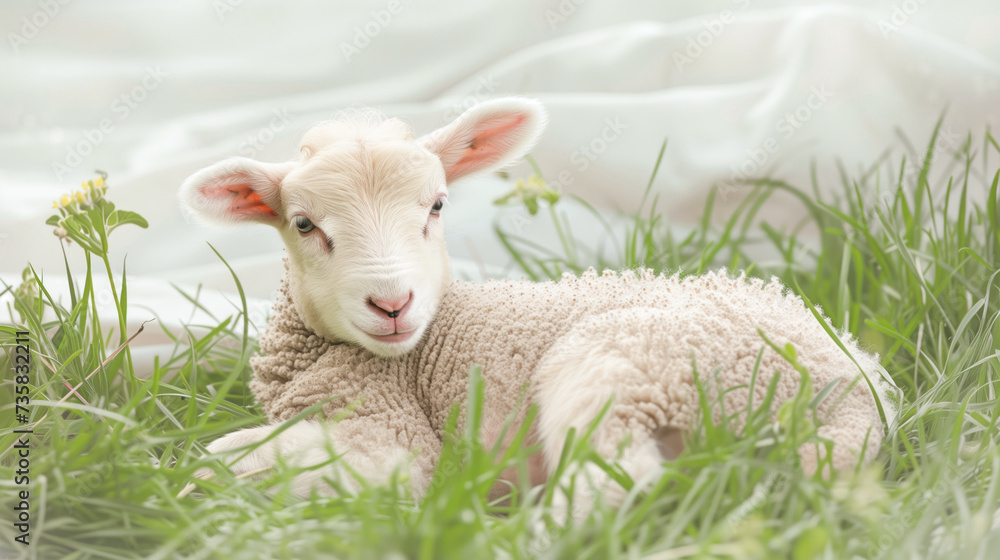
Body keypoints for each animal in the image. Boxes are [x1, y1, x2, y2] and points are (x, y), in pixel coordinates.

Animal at [179, 97, 897, 518]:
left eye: (437, 205)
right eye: (303, 224)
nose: (392, 304)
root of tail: (850, 396)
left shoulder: (388, 435)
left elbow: (223, 456)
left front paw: (185, 491)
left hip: (622, 367)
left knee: (615, 482)